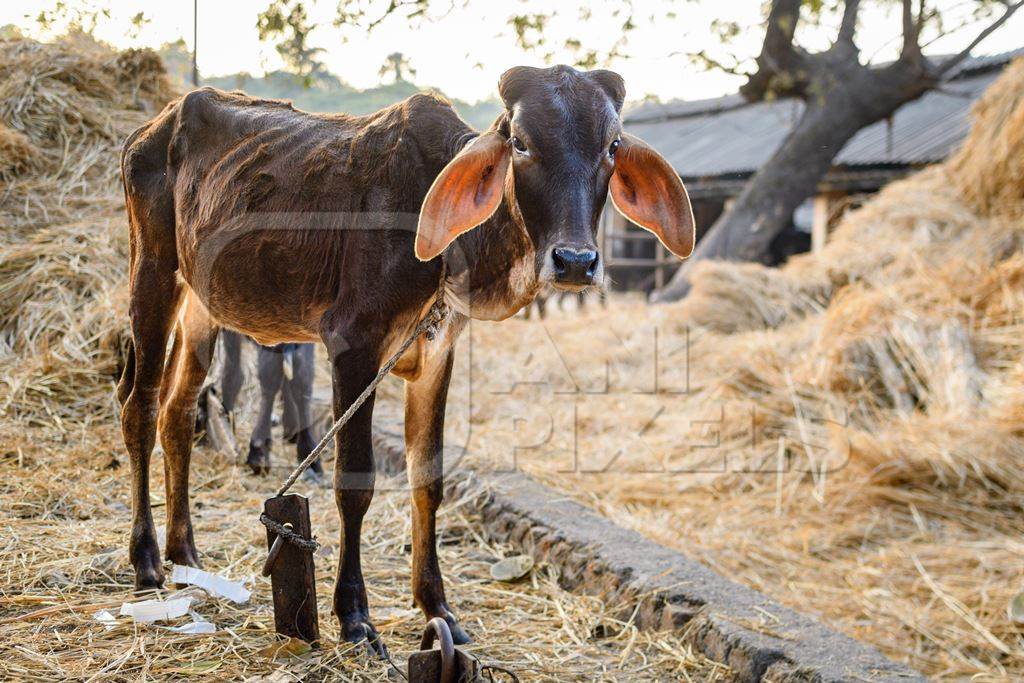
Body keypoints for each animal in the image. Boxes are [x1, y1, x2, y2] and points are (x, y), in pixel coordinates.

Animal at [117, 65, 696, 655]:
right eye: (520, 142)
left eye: (612, 146)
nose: (575, 261)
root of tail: (153, 126)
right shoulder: (352, 345)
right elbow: (355, 483)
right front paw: (354, 616)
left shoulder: (438, 354)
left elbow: (429, 480)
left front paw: (437, 608)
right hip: (153, 273)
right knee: (139, 407)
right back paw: (147, 561)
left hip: (201, 306)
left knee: (177, 412)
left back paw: (185, 553)